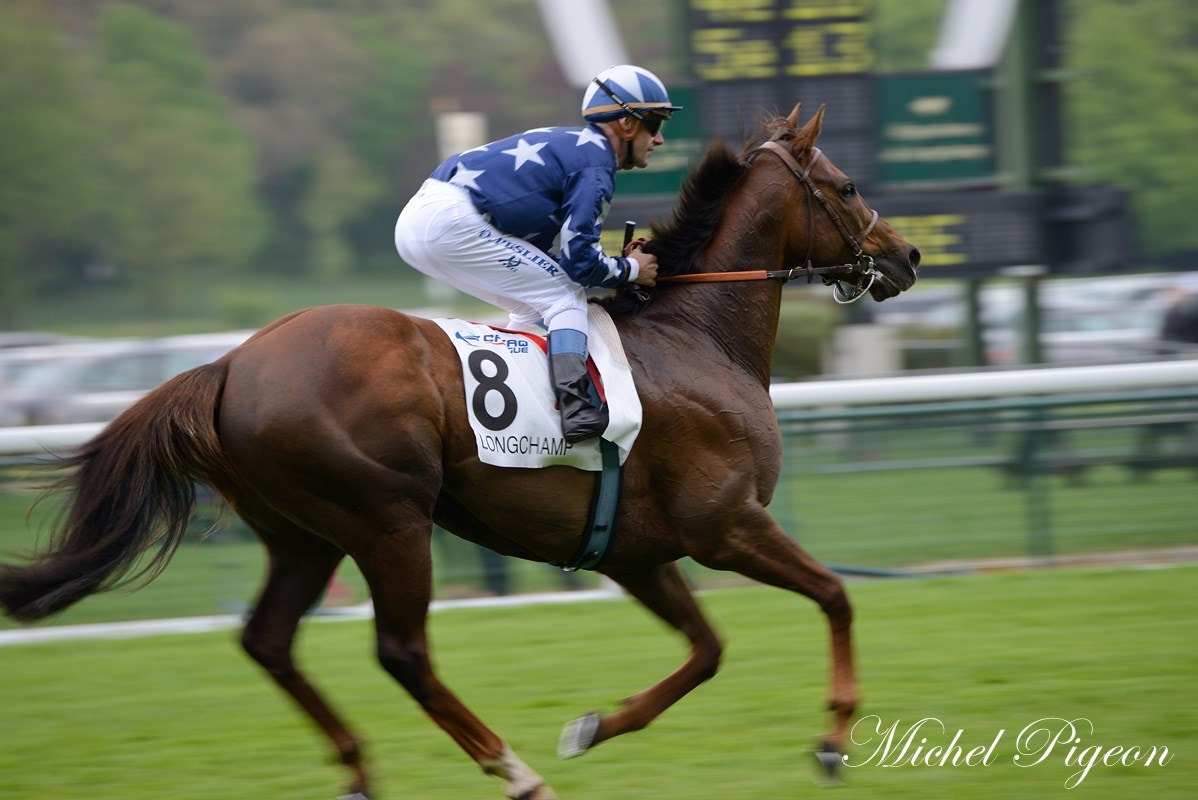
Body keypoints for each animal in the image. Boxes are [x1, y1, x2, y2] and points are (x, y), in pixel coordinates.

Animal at [0, 107, 915, 800]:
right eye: (846, 186)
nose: (905, 256)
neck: (697, 339)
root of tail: (227, 365)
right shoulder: (724, 524)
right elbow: (836, 597)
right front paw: (833, 739)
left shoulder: (637, 553)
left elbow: (708, 652)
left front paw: (594, 725)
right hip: (387, 520)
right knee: (402, 652)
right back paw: (512, 771)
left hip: (302, 534)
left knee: (268, 641)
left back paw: (360, 771)